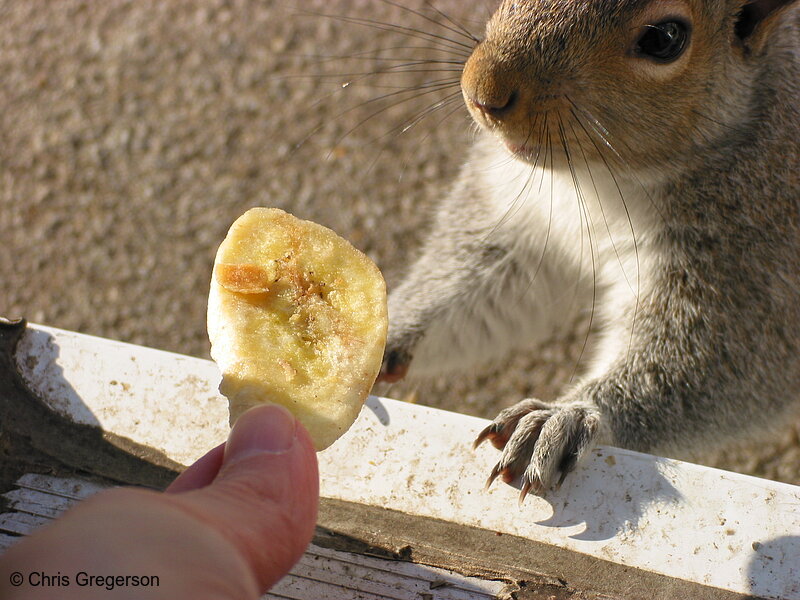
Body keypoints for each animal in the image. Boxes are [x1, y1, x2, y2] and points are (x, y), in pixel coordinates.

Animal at [376, 0, 800, 496]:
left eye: (664, 39)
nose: (483, 92)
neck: (594, 177)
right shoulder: (518, 220)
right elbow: (473, 293)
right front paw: (382, 328)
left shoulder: (755, 256)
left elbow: (718, 362)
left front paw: (561, 417)